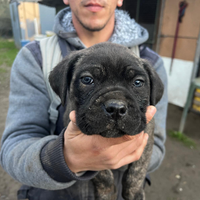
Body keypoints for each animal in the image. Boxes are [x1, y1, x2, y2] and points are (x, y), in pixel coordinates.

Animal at [48, 42, 164, 200]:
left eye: (138, 82)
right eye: (87, 80)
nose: (116, 108)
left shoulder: (147, 137)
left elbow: (137, 170)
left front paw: (134, 193)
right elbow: (102, 175)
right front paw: (107, 194)